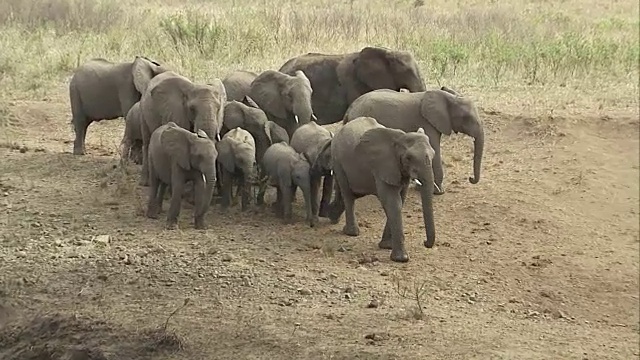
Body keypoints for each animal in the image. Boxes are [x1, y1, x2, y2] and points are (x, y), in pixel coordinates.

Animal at [328, 116, 438, 262]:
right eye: (408, 158)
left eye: (433, 154)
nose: (425, 243)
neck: (399, 138)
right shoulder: (381, 166)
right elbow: (392, 202)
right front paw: (401, 259)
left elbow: (400, 200)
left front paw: (386, 246)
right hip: (338, 160)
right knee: (348, 194)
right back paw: (351, 232)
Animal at [344, 87, 484, 194]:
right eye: (467, 118)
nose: (470, 178)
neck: (449, 97)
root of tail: (349, 110)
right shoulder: (427, 123)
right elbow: (435, 150)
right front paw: (438, 192)